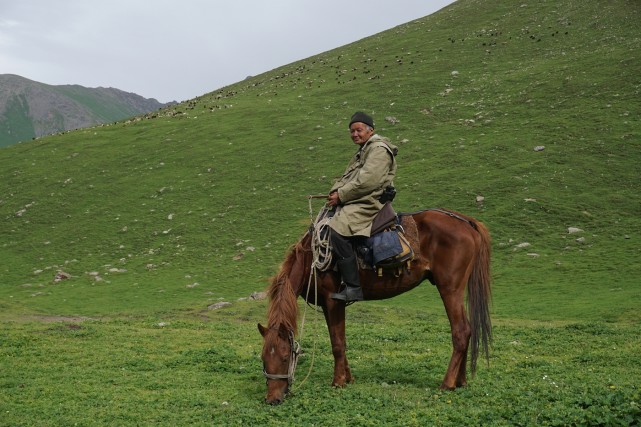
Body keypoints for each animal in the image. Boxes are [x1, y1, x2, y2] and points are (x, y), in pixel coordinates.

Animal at [255, 209, 490, 406]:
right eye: (263, 358)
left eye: (285, 357)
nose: (273, 399)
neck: (310, 260)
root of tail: (466, 221)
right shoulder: (327, 305)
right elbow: (340, 341)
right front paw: (348, 378)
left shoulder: (334, 301)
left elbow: (337, 344)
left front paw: (338, 382)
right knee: (467, 330)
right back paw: (460, 381)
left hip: (449, 288)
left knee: (460, 331)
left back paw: (447, 383)